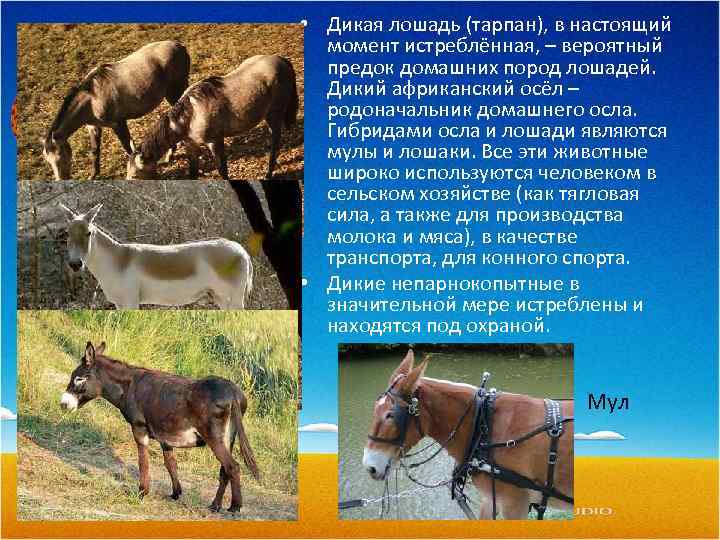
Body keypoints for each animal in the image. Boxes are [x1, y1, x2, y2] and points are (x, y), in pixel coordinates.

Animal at [42, 40, 190, 180]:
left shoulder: (118, 123)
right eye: (48, 160)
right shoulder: (93, 127)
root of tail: (180, 46)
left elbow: (128, 148)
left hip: (174, 92)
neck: (92, 99)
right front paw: (93, 175)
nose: (61, 180)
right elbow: (95, 151)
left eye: (61, 156)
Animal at [59, 203, 253, 309]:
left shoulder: (130, 302)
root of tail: (242, 251)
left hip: (234, 299)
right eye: (67, 233)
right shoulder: (119, 304)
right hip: (220, 297)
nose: (75, 264)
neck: (118, 260)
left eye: (88, 233)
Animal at [60, 341, 260, 511]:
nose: (63, 404)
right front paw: (176, 493)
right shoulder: (166, 437)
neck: (129, 387)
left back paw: (234, 507)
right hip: (228, 438)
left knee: (232, 466)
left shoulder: (139, 429)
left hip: (214, 437)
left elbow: (143, 462)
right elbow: (170, 464)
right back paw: (215, 506)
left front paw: (142, 492)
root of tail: (233, 392)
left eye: (79, 379)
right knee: (225, 470)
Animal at [126, 55, 298, 180]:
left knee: (275, 143)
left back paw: (269, 173)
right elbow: (193, 173)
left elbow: (222, 171)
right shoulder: (191, 146)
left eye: (134, 175)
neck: (191, 115)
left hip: (274, 114)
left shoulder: (215, 142)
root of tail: (282, 60)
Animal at [362, 350, 574, 520]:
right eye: (375, 410)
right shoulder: (491, 500)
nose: (369, 467)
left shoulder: (515, 504)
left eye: (390, 415)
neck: (484, 425)